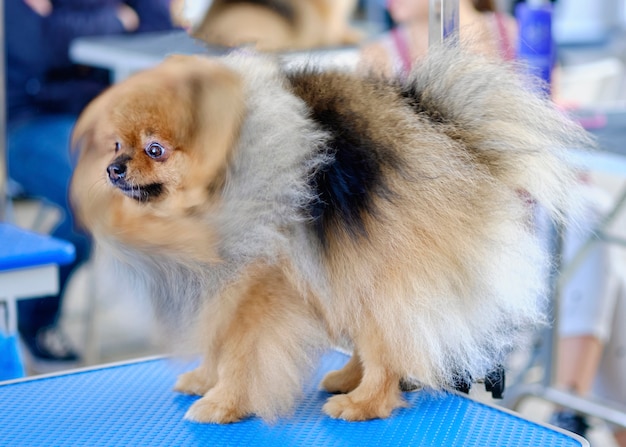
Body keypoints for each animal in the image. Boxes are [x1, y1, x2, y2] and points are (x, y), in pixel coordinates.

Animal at [70, 44, 588, 424]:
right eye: (116, 145)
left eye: (156, 149)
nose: (114, 169)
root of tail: (447, 132)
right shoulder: (223, 284)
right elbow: (218, 343)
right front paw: (203, 379)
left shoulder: (261, 292)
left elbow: (243, 354)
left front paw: (222, 403)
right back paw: (345, 379)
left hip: (383, 271)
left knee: (386, 349)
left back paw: (363, 403)